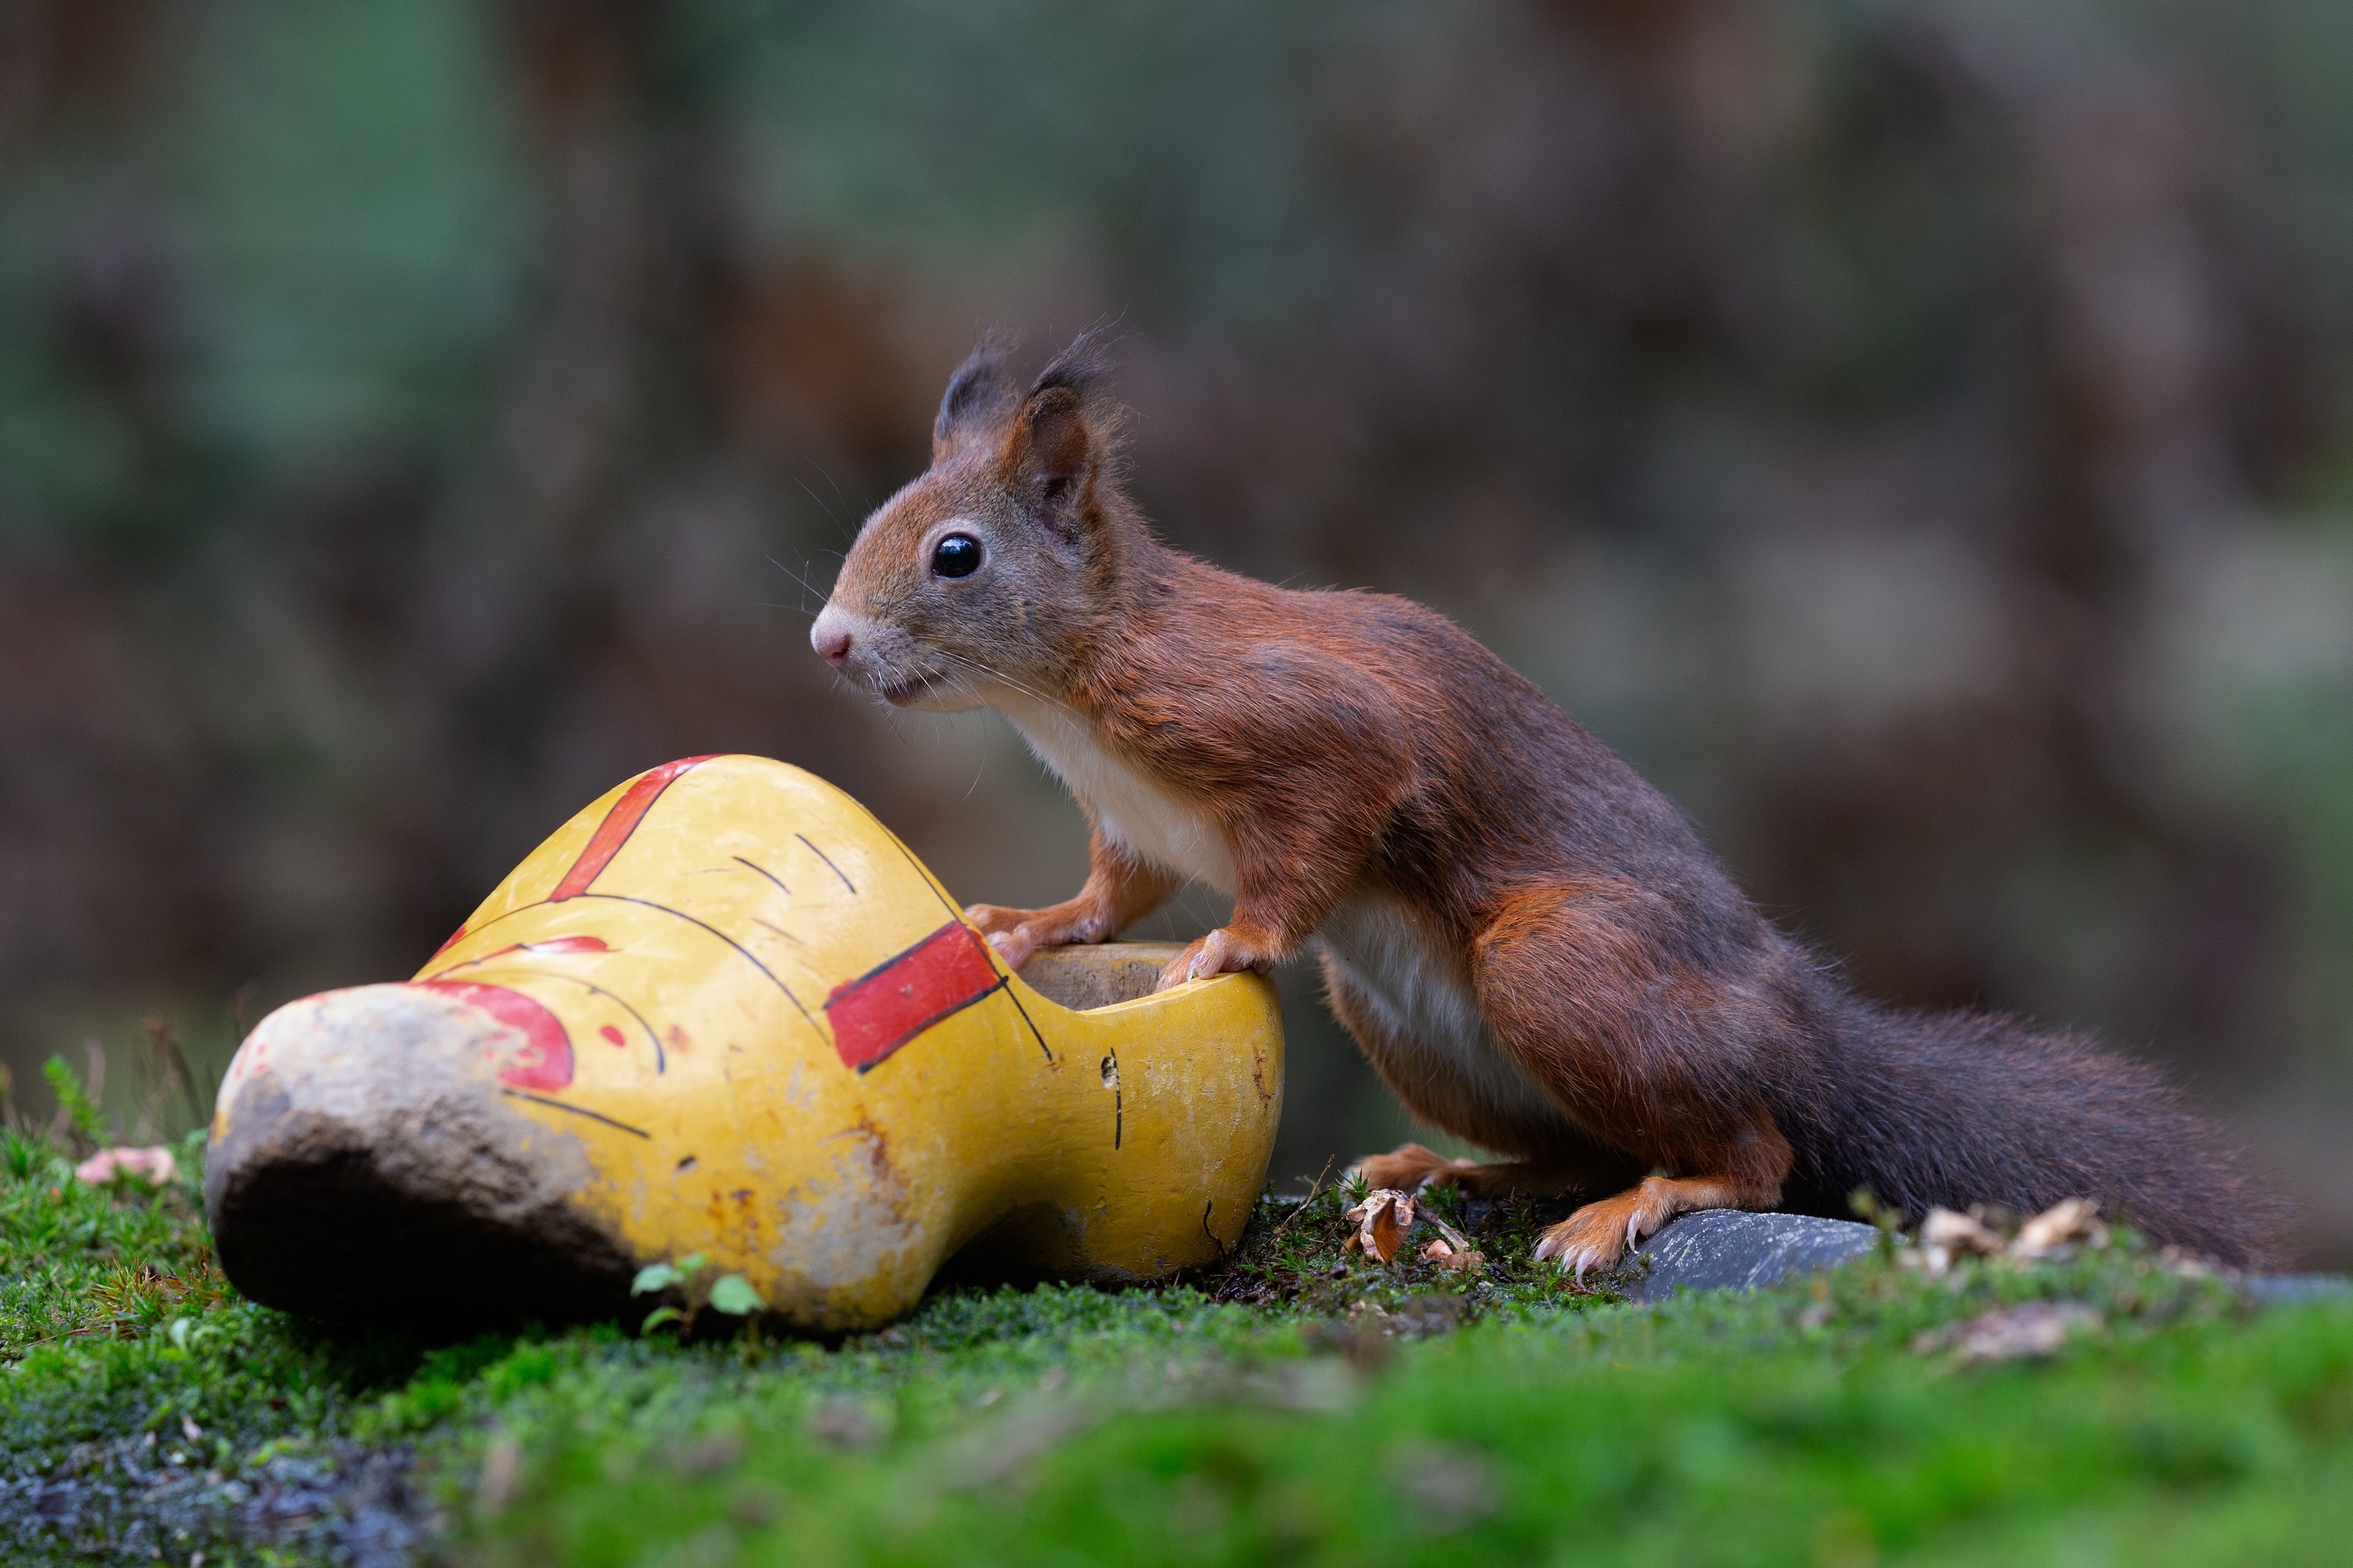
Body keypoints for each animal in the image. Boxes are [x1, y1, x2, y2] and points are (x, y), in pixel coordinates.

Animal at [809, 334, 2278, 1279]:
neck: (1071, 690)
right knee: (1577, 1144)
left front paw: (1226, 944)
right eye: (877, 518)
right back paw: (1455, 1175)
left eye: (955, 554)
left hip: (1562, 963)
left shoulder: (1306, 732)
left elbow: (1303, 855)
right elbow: (1107, 896)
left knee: (1754, 1151)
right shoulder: (1133, 828)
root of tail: (1804, 1035)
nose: (827, 643)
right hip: (1419, 1026)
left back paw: (1639, 1201)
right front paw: (1022, 924)